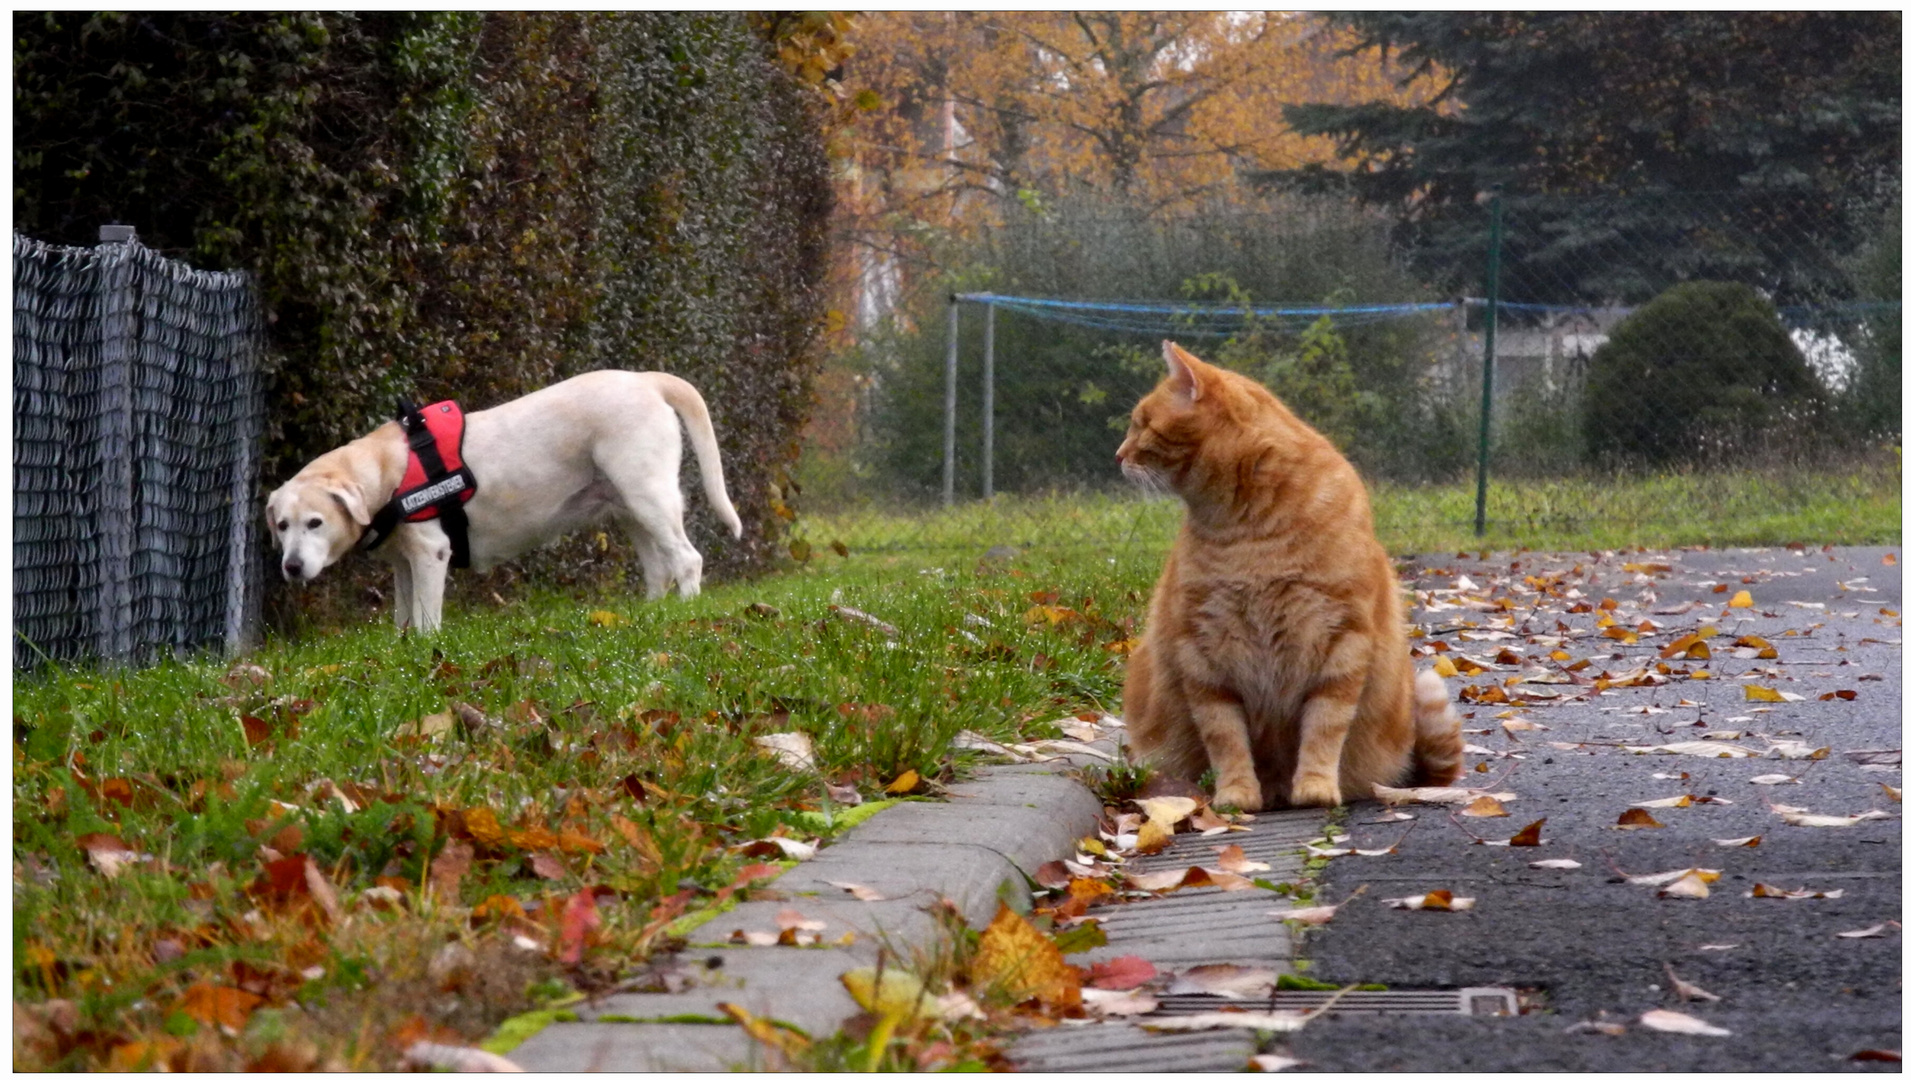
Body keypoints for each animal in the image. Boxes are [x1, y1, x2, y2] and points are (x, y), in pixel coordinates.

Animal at [265, 368, 741, 630]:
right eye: (282, 526)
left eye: (315, 522)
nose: (291, 567)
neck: (386, 469)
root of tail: (645, 380)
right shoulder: (403, 562)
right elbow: (403, 617)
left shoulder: (430, 553)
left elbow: (425, 621)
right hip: (630, 510)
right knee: (659, 569)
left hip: (648, 495)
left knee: (687, 559)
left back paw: (687, 611)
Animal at [1116, 340, 1452, 802]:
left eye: (1142, 424)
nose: (1118, 456)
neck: (1250, 531)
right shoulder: (1201, 654)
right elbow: (1224, 738)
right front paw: (1236, 795)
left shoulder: (1344, 643)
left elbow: (1324, 728)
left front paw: (1315, 787)